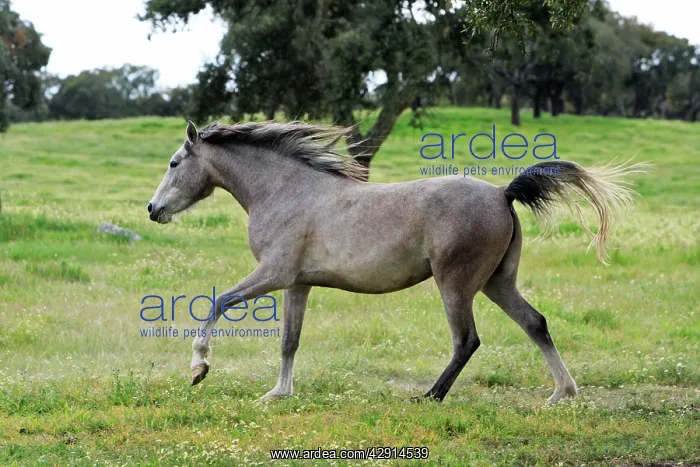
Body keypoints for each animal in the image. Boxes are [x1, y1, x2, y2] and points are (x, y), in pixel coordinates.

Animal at [147, 120, 644, 403]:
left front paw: (198, 369)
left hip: (455, 284)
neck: (285, 191)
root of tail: (503, 194)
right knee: (535, 323)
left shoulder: (273, 274)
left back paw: (430, 396)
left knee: (467, 340)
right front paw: (278, 393)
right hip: (497, 283)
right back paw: (563, 393)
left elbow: (218, 303)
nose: (153, 210)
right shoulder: (297, 283)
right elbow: (289, 341)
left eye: (173, 164)